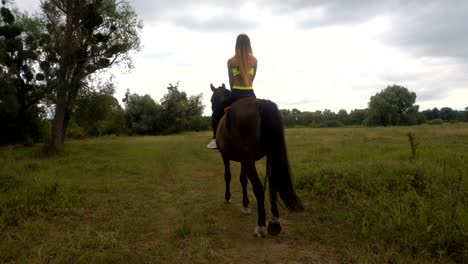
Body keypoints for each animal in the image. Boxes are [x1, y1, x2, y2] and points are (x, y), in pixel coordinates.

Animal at [208, 83, 304, 237]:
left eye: (212, 100)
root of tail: (261, 103)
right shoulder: (243, 159)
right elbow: (243, 179)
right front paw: (245, 204)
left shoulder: (227, 156)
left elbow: (228, 176)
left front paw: (228, 197)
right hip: (267, 157)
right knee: (273, 183)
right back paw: (275, 222)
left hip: (249, 160)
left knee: (258, 188)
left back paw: (261, 226)